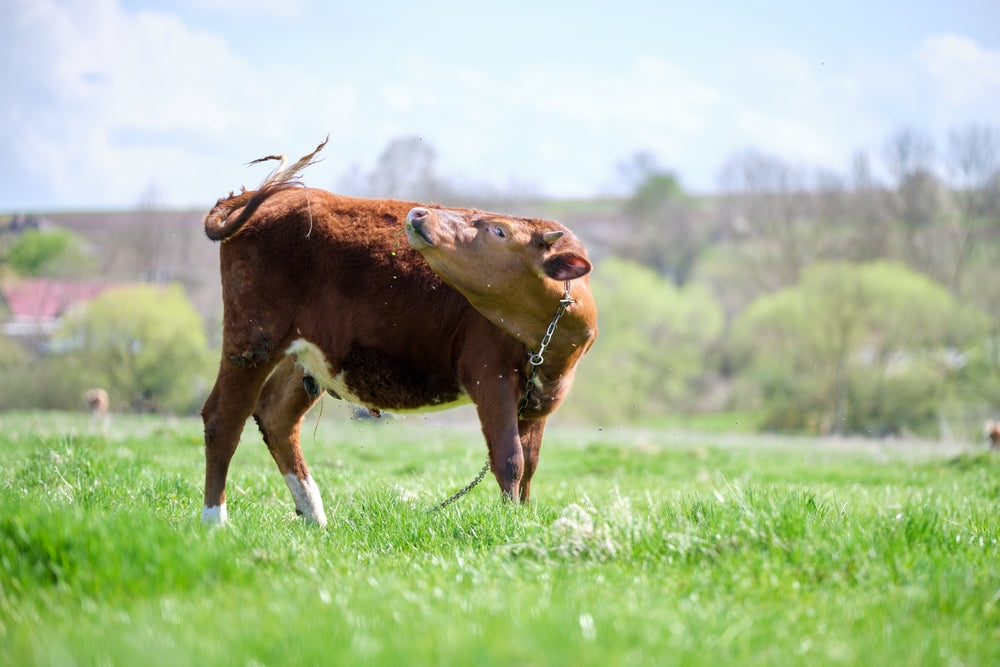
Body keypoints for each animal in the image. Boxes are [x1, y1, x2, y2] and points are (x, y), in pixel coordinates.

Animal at [200, 139, 598, 525]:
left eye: (499, 230)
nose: (419, 213)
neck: (552, 341)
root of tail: (271, 198)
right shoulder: (490, 378)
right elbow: (510, 460)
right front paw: (509, 522)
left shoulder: (536, 402)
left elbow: (530, 464)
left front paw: (524, 517)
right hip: (253, 339)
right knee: (223, 419)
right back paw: (215, 519)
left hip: (305, 354)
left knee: (276, 417)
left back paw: (313, 513)